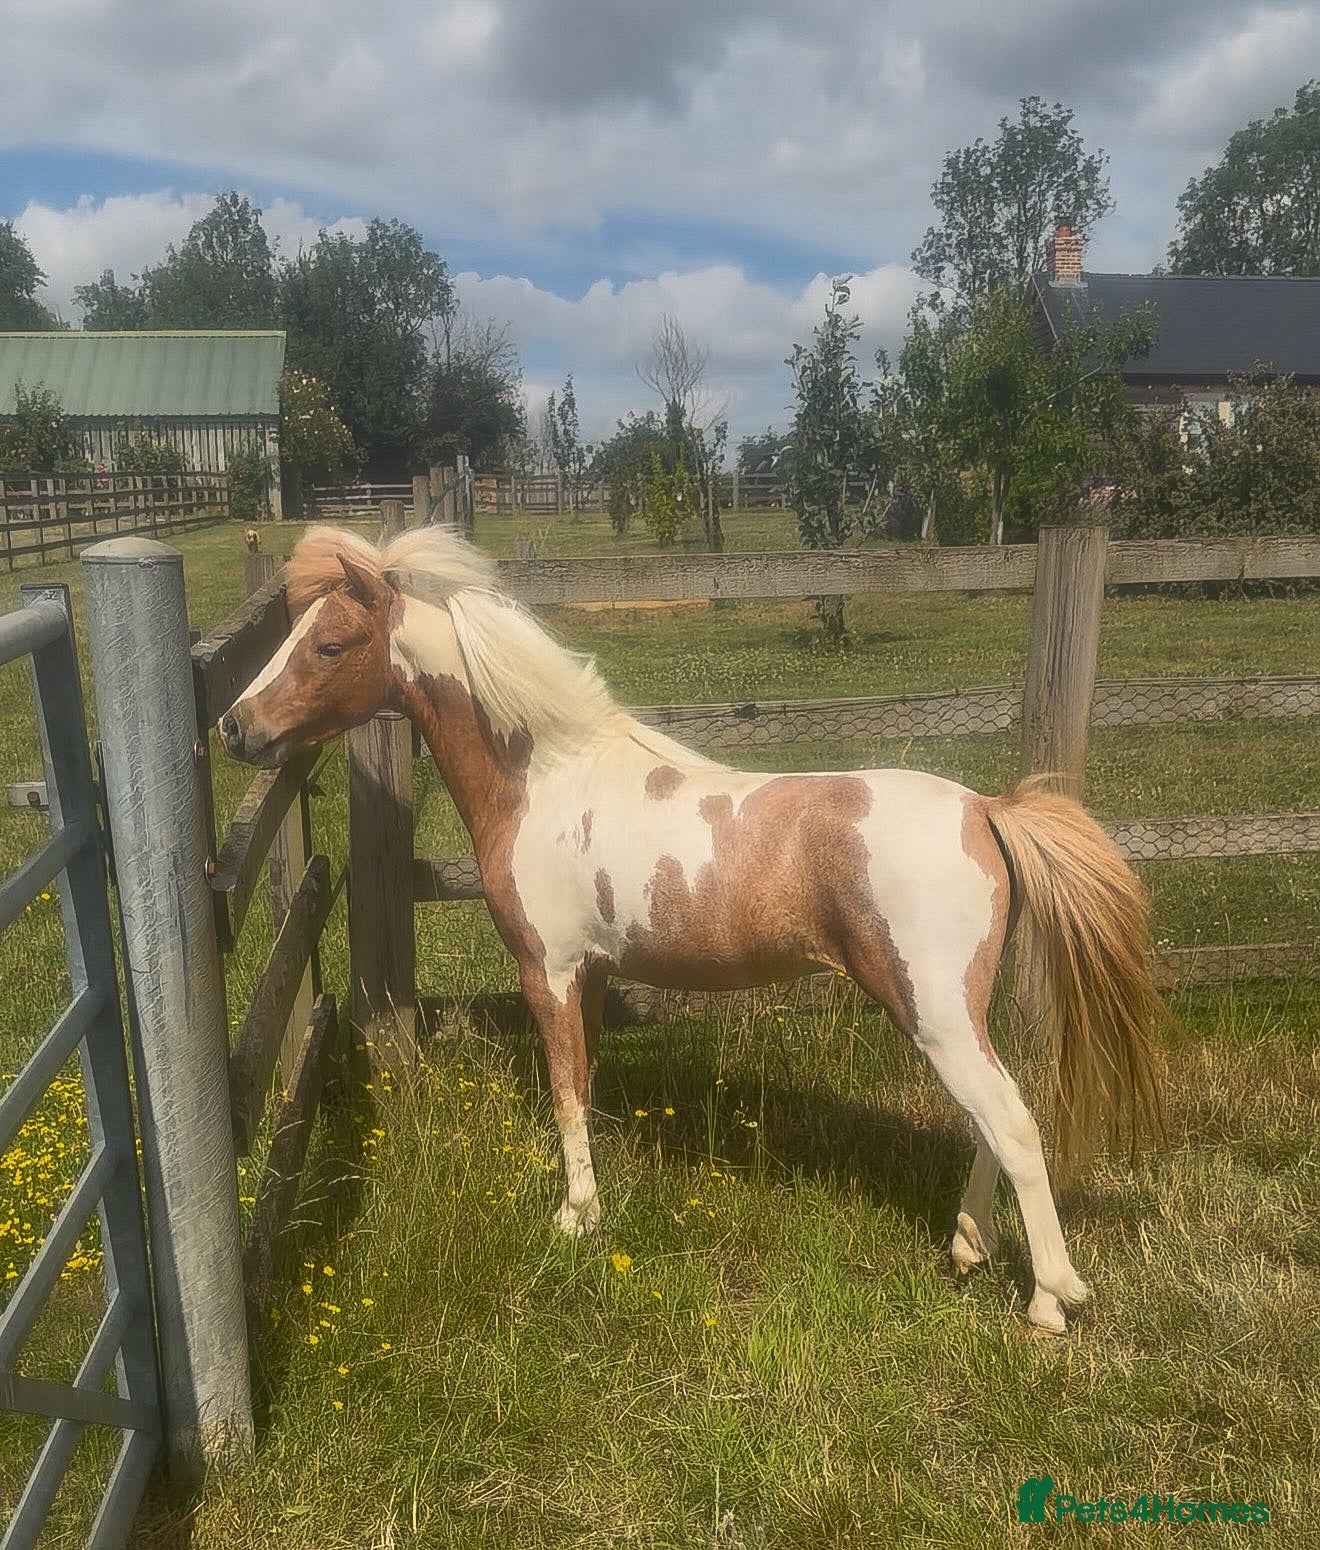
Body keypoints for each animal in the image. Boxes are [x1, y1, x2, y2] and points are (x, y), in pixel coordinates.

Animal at [219, 524, 1164, 1334]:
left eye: (330, 644)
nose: (234, 725)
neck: (544, 779)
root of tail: (985, 811)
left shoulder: (546, 970)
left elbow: (564, 1093)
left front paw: (575, 1219)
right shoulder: (592, 974)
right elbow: (585, 1082)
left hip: (934, 1014)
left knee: (1013, 1125)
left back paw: (1050, 1299)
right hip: (956, 1016)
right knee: (992, 1121)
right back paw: (968, 1245)